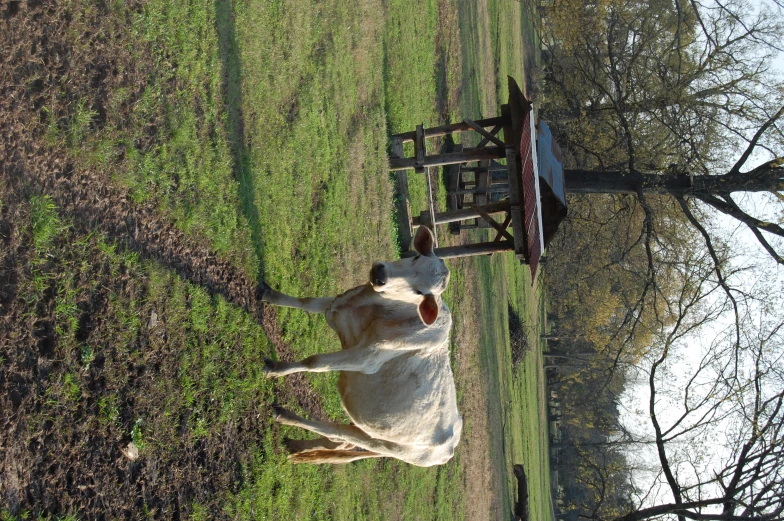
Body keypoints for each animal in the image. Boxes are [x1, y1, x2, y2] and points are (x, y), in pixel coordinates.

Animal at [260, 225, 462, 466]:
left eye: (419, 292)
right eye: (415, 257)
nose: (380, 274)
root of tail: (451, 447)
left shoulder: (365, 358)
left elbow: (314, 362)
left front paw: (275, 369)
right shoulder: (336, 307)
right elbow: (305, 302)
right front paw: (270, 294)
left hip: (383, 443)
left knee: (337, 432)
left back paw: (285, 416)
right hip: (368, 426)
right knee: (337, 443)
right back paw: (297, 446)